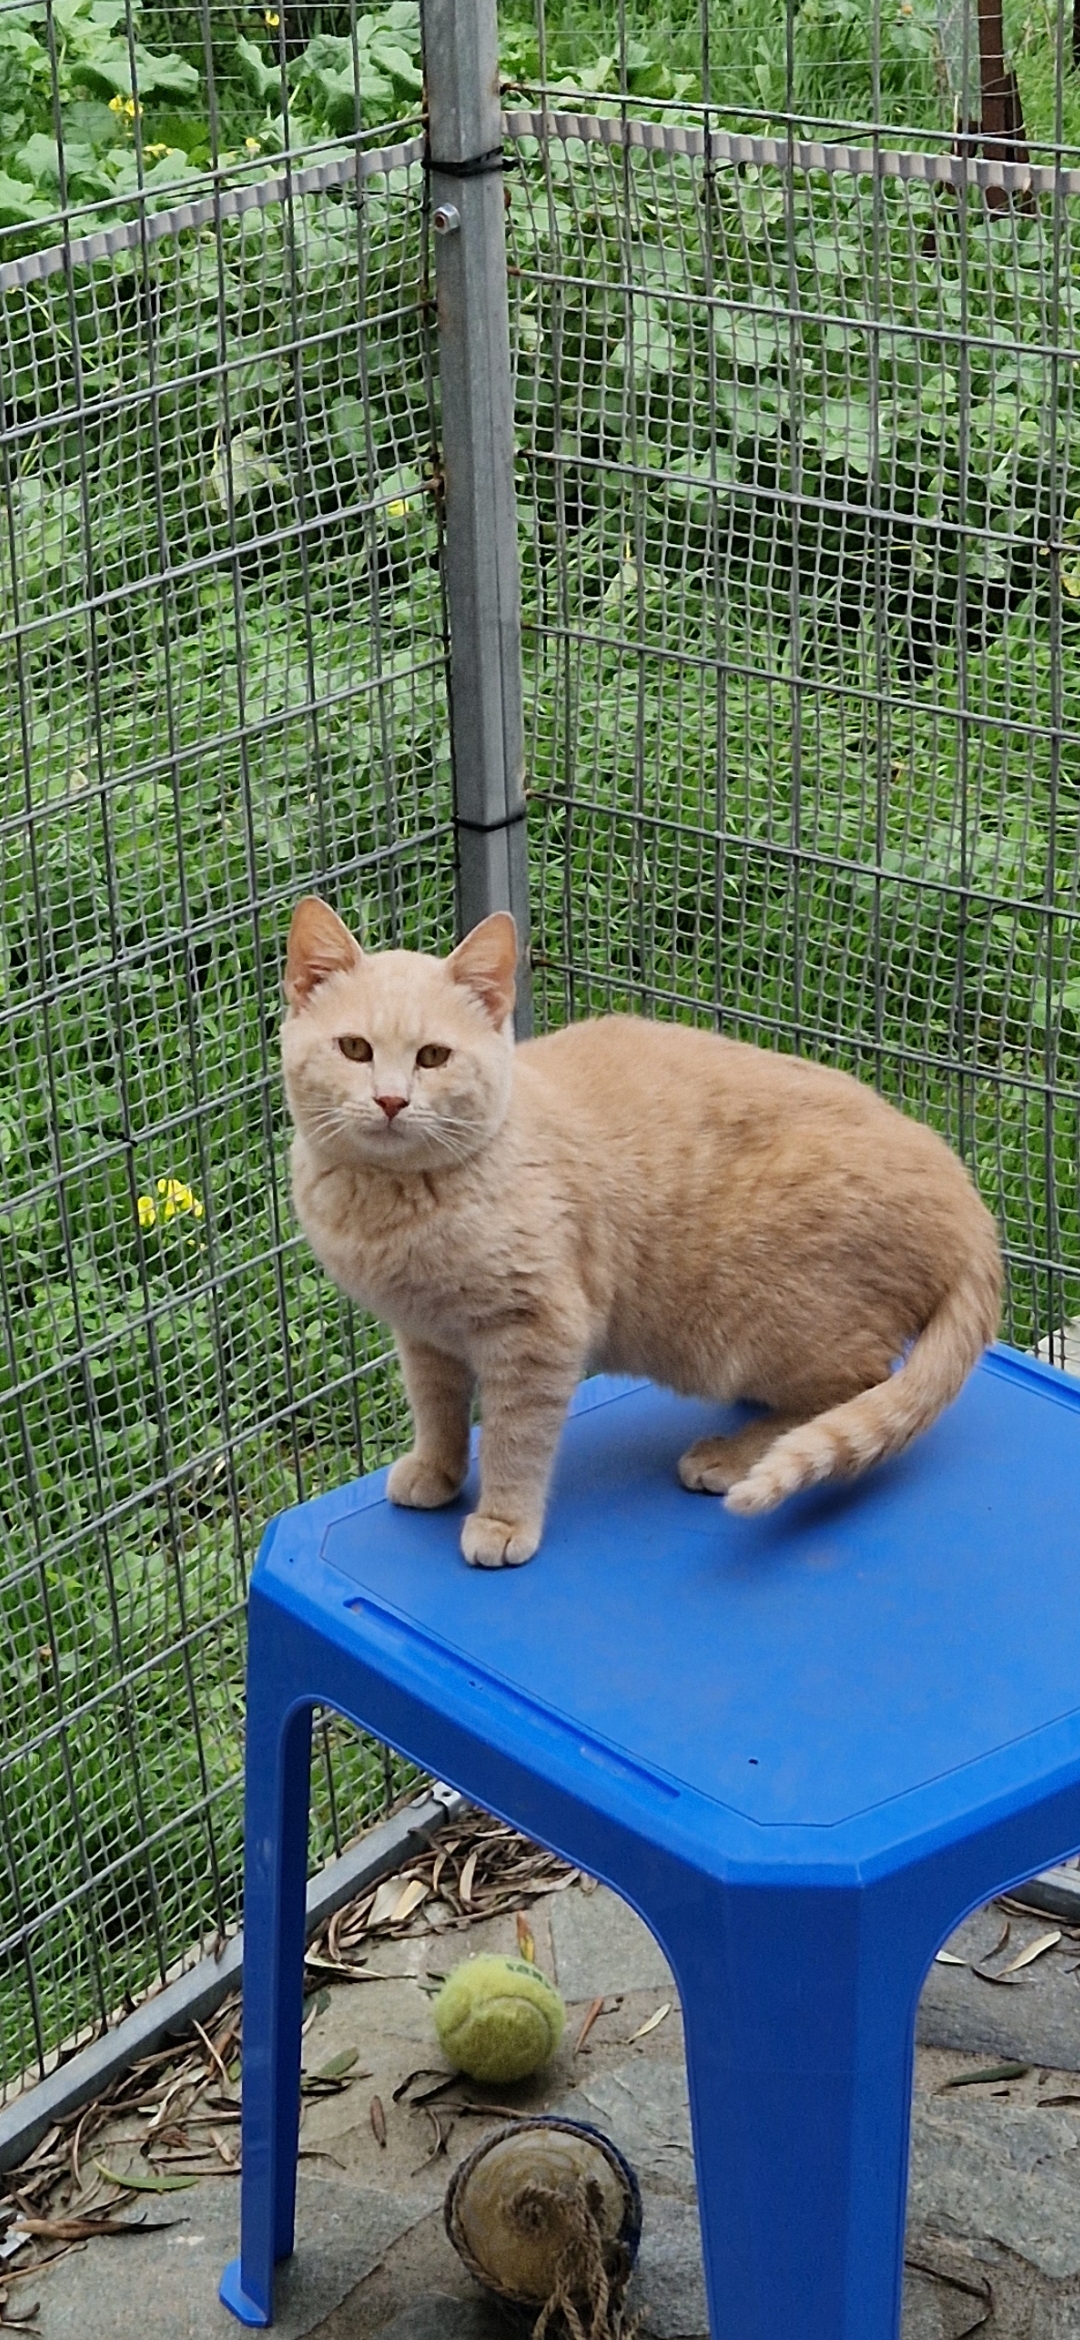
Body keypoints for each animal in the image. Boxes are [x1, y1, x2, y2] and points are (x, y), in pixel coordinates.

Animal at [283, 896, 1002, 1567]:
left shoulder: (537, 1331)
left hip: (773, 1325)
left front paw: (504, 1521)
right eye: (354, 1049)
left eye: (433, 1057)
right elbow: (438, 1411)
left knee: (861, 1390)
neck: (396, 1205)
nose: (391, 1101)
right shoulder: (425, 1336)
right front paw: (437, 1471)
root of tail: (970, 1204)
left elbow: (515, 1437)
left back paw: (735, 1454)